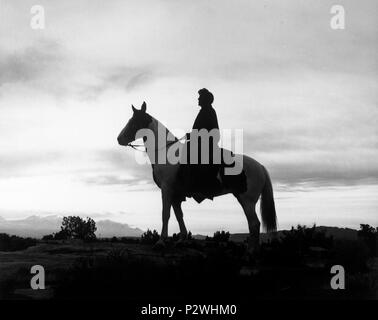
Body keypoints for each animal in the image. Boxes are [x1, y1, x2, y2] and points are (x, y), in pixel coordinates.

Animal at [116, 102, 276, 252]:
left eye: (133, 121)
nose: (119, 139)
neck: (165, 152)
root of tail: (260, 167)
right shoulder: (175, 194)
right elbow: (179, 215)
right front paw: (181, 240)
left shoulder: (167, 189)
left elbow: (165, 214)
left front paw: (160, 242)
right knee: (253, 224)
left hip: (247, 200)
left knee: (254, 224)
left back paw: (250, 252)